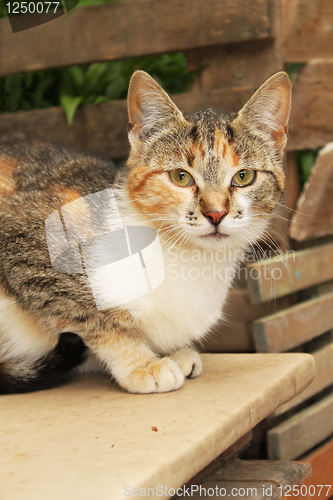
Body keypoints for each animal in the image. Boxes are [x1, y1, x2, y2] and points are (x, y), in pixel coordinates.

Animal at [0, 69, 290, 394]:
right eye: (180, 177)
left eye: (244, 176)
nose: (216, 213)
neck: (187, 259)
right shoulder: (26, 236)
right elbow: (94, 317)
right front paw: (142, 364)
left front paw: (175, 352)